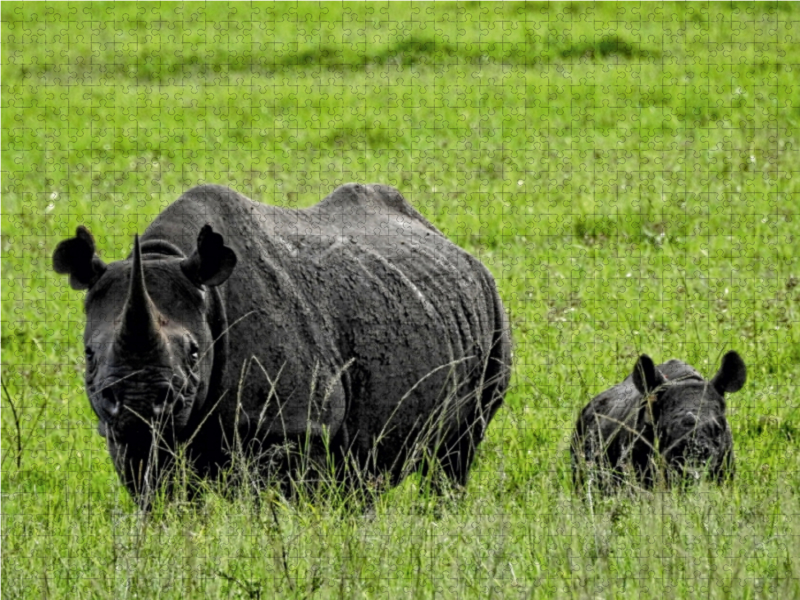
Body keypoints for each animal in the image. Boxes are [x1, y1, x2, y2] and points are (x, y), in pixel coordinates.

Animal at [51, 184, 512, 506]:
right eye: (89, 355)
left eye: (195, 353)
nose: (140, 405)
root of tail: (446, 239)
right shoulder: (127, 439)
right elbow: (161, 499)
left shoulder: (297, 424)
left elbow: (282, 506)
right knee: (364, 473)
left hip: (494, 313)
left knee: (457, 452)